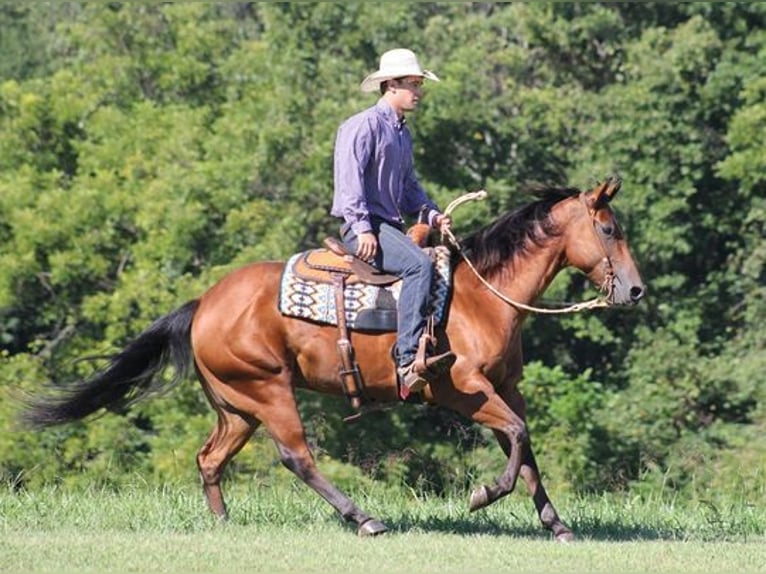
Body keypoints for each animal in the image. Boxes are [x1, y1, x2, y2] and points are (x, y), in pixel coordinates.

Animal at [19, 177, 645, 541]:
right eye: (608, 227)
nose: (636, 290)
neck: (479, 298)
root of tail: (203, 305)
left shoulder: (503, 388)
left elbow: (525, 445)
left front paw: (557, 525)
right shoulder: (461, 390)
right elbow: (516, 436)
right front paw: (483, 495)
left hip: (237, 407)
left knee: (209, 458)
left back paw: (223, 525)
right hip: (270, 392)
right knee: (297, 457)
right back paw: (364, 518)